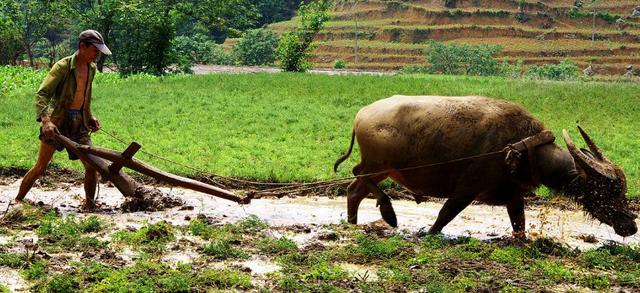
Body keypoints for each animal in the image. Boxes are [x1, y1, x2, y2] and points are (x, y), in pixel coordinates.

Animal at [336, 94, 636, 236]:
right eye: (608, 191)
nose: (631, 226)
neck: (522, 149)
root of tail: (362, 114)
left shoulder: (514, 196)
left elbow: (519, 225)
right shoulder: (466, 189)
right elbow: (444, 215)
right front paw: (428, 233)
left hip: (384, 168)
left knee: (354, 189)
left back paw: (354, 223)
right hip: (378, 164)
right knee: (359, 176)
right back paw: (389, 214)